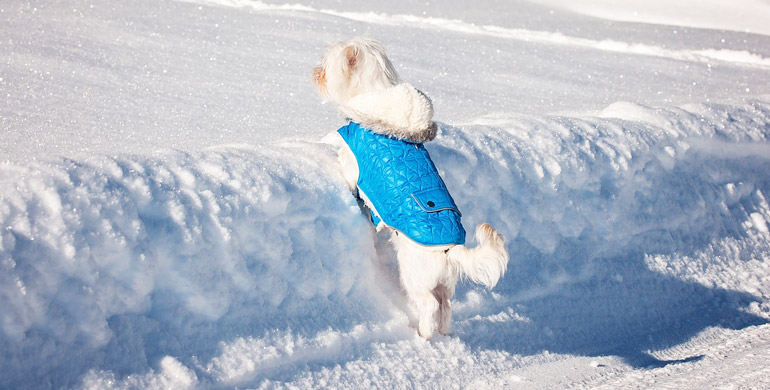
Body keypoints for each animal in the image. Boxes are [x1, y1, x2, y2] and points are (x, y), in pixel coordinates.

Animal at [308, 38, 508, 340]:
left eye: (327, 64)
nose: (315, 73)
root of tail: (449, 250)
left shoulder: (354, 165)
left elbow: (347, 171)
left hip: (415, 276)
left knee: (429, 305)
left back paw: (423, 335)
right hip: (444, 282)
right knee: (446, 305)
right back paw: (443, 333)